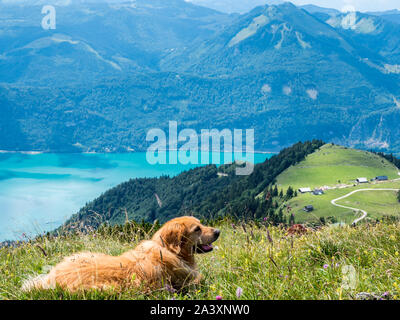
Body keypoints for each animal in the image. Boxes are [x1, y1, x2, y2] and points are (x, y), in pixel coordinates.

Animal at [21, 216, 220, 294]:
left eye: (201, 224)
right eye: (197, 229)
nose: (218, 231)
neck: (168, 250)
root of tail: (51, 278)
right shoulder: (187, 282)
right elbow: (202, 279)